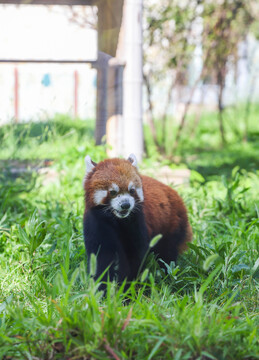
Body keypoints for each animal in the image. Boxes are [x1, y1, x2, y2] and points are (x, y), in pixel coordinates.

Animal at [84, 155, 193, 286]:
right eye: (113, 192)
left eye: (131, 190)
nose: (125, 205)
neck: (118, 221)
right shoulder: (96, 223)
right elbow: (101, 258)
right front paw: (102, 285)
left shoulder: (137, 223)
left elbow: (135, 256)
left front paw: (128, 285)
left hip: (171, 225)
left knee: (167, 253)